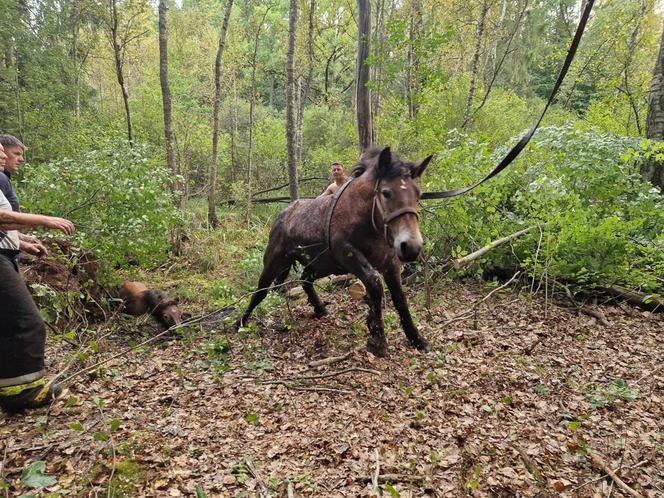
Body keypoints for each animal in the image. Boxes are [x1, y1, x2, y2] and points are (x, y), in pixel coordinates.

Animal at [236, 146, 434, 356]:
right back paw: (240, 323)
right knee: (260, 292)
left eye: (418, 194)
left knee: (305, 279)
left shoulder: (391, 264)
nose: (411, 246)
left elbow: (400, 299)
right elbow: (374, 283)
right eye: (386, 193)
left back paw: (320, 309)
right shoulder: (348, 254)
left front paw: (417, 340)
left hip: (322, 264)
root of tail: (283, 215)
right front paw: (377, 339)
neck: (364, 219)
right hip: (274, 262)